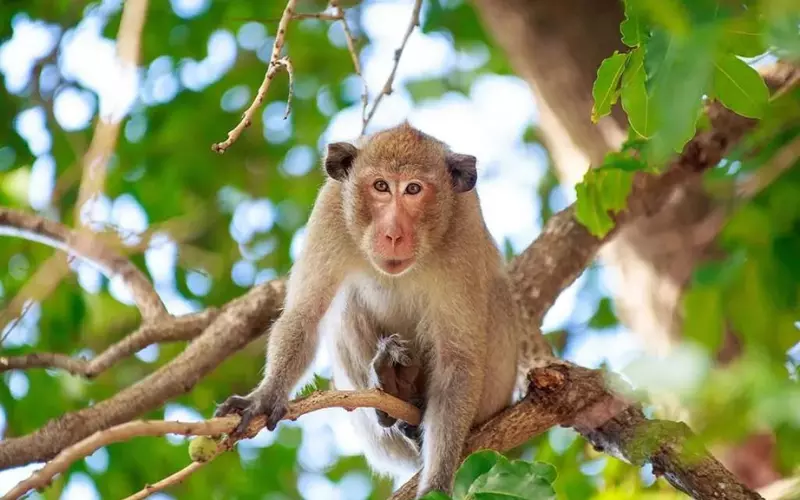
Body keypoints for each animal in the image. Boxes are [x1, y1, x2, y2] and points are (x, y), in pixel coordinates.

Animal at [212, 123, 552, 498]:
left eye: (413, 189)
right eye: (380, 186)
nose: (393, 234)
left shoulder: (464, 230)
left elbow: (457, 359)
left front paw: (436, 482)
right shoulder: (331, 209)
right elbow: (305, 314)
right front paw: (265, 395)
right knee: (346, 305)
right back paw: (394, 389)